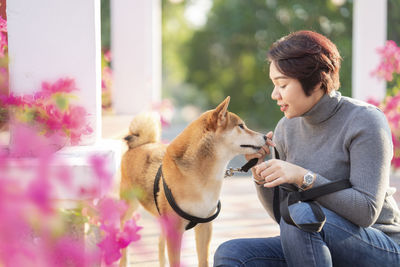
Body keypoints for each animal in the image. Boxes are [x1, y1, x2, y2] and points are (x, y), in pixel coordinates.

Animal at [120, 97, 268, 267]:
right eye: (241, 126)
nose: (265, 136)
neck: (202, 178)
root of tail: (141, 144)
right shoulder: (175, 230)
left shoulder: (205, 225)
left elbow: (203, 260)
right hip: (129, 208)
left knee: (159, 243)